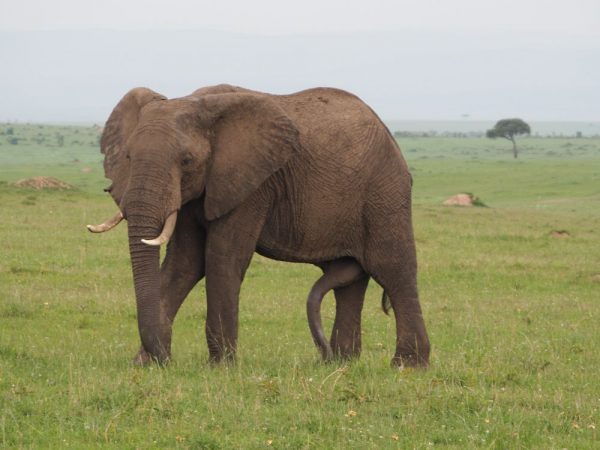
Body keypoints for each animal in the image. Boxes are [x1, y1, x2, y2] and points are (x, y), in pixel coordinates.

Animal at [86, 84, 428, 370]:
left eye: (186, 161)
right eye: (128, 156)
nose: (166, 361)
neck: (198, 104)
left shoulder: (252, 186)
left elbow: (223, 258)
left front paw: (221, 367)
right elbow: (184, 264)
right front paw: (144, 365)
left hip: (385, 191)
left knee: (392, 268)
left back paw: (407, 366)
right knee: (349, 278)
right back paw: (342, 362)